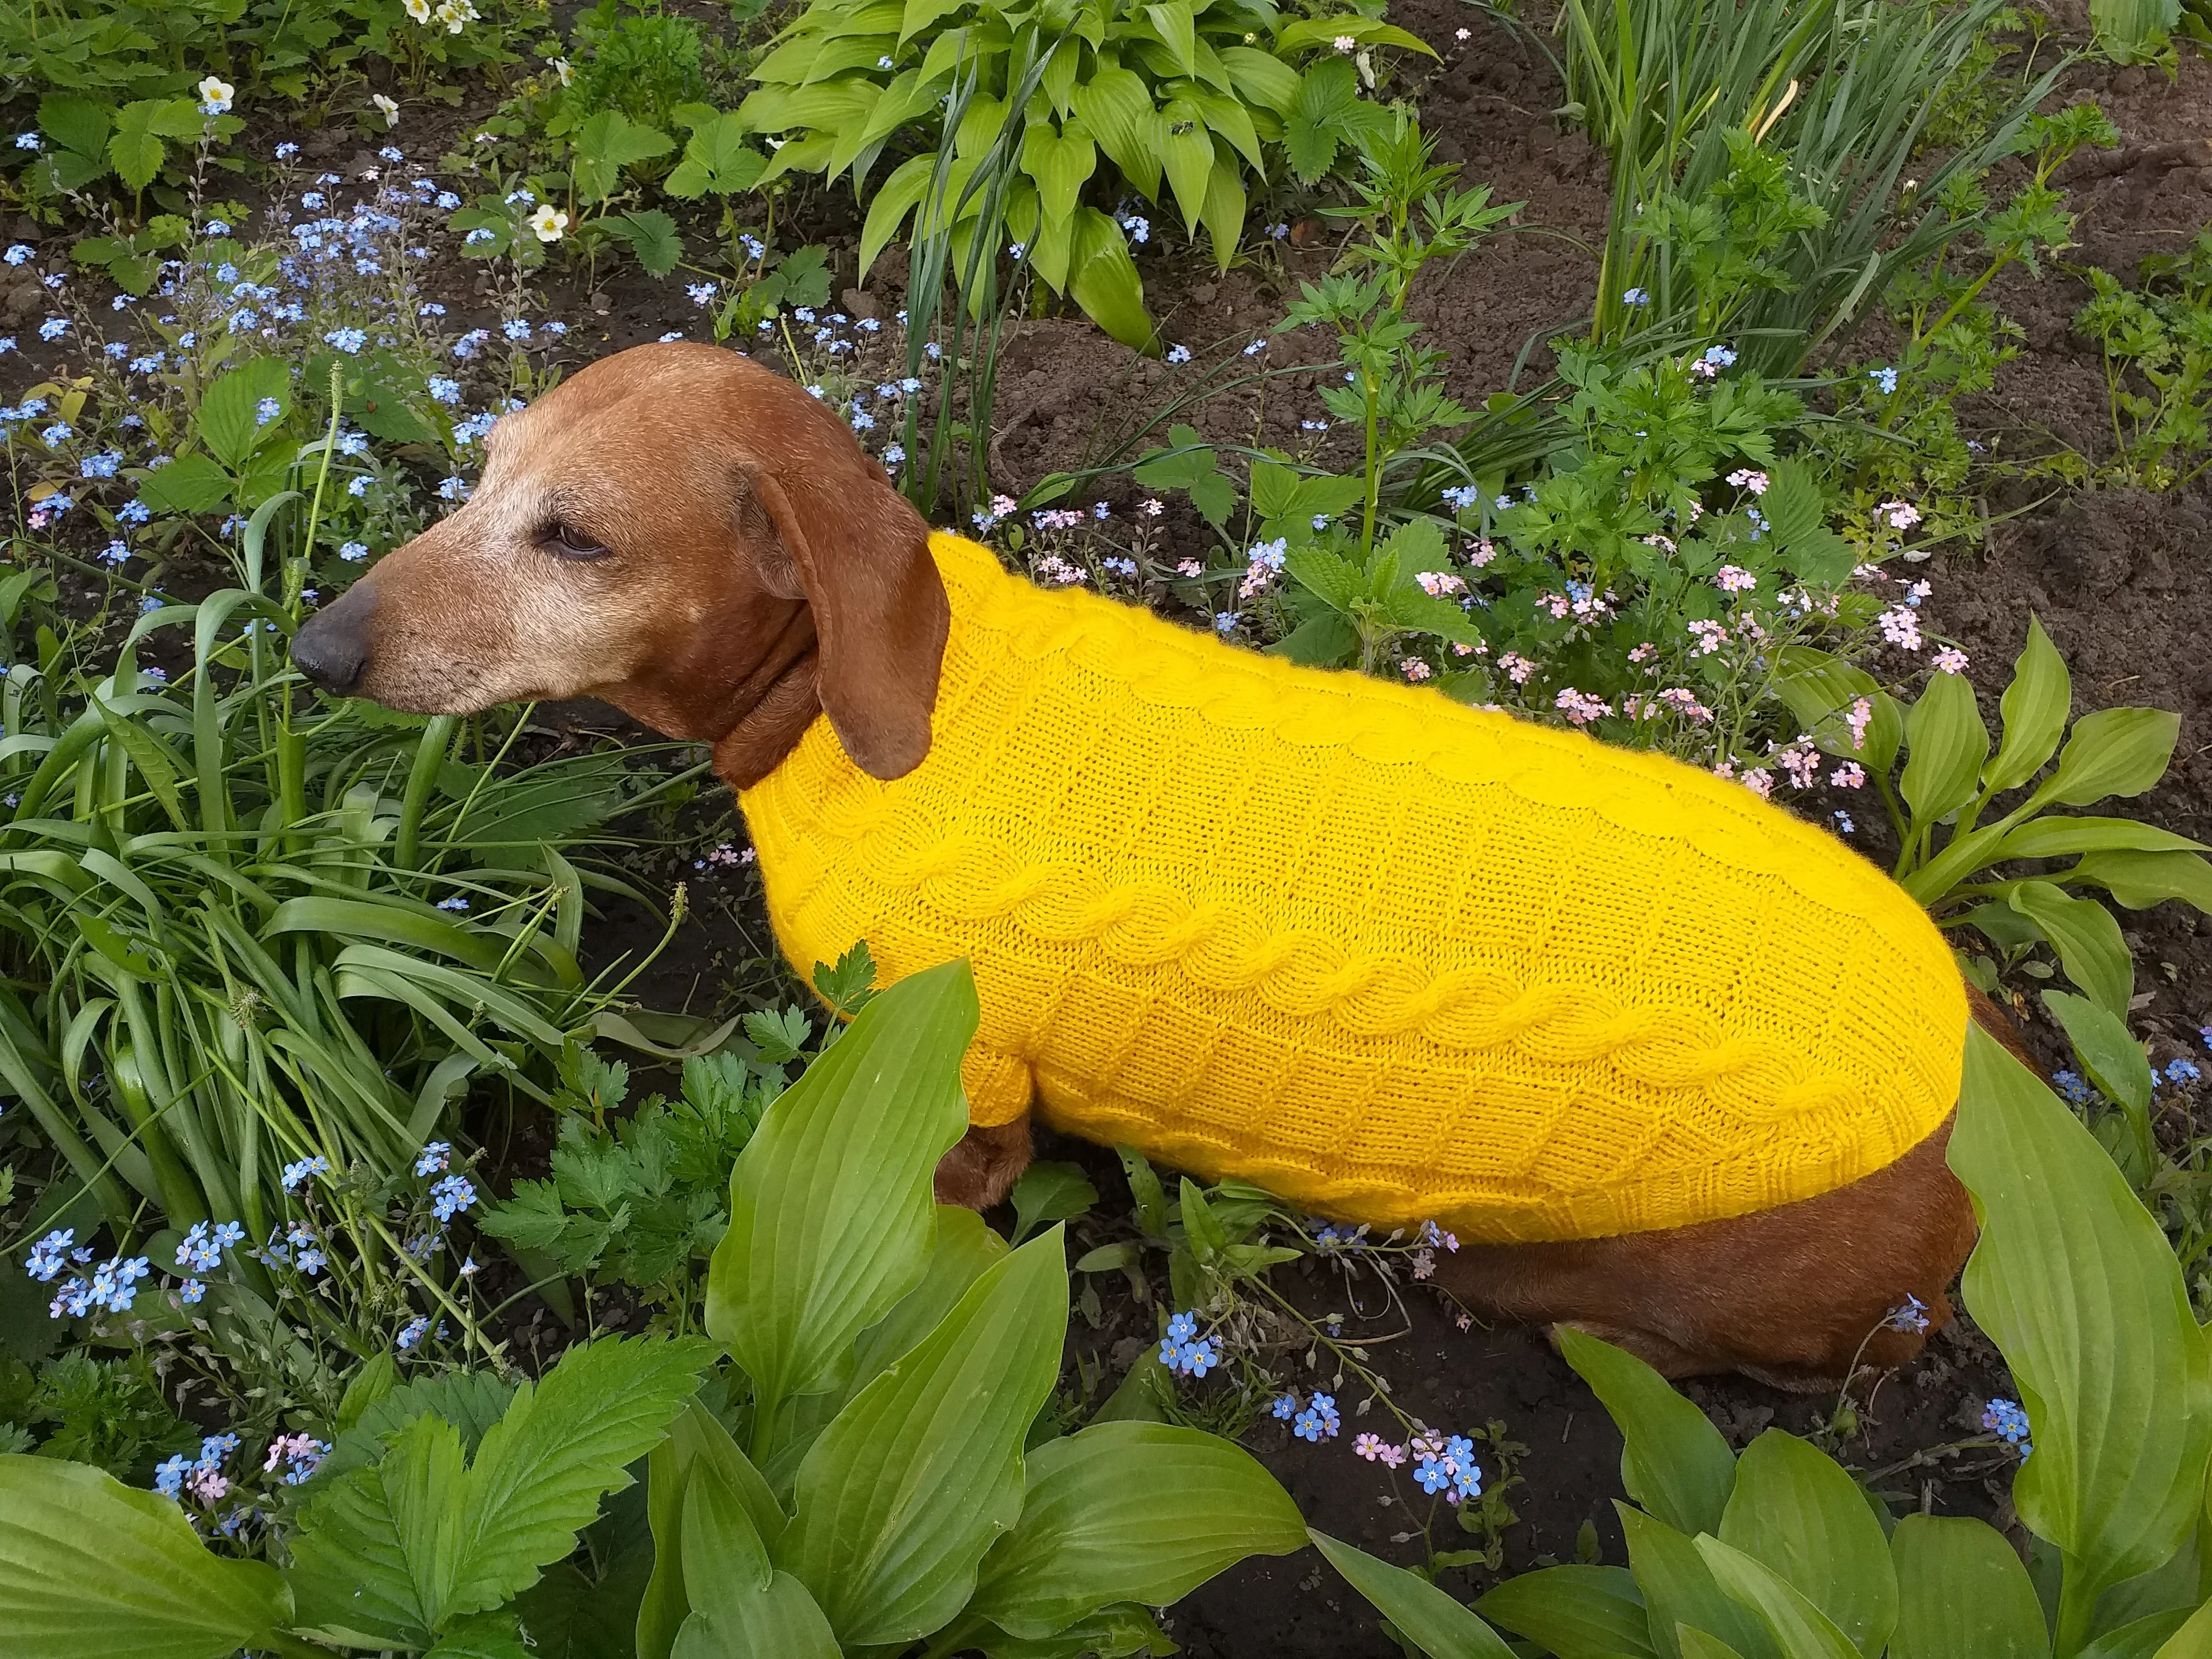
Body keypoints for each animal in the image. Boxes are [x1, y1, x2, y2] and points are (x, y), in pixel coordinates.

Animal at [294, 340, 2026, 1389]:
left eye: (574, 539)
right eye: (481, 471)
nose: (312, 648)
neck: (843, 708)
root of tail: (1976, 1101)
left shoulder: (959, 1100)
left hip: (1597, 1280)